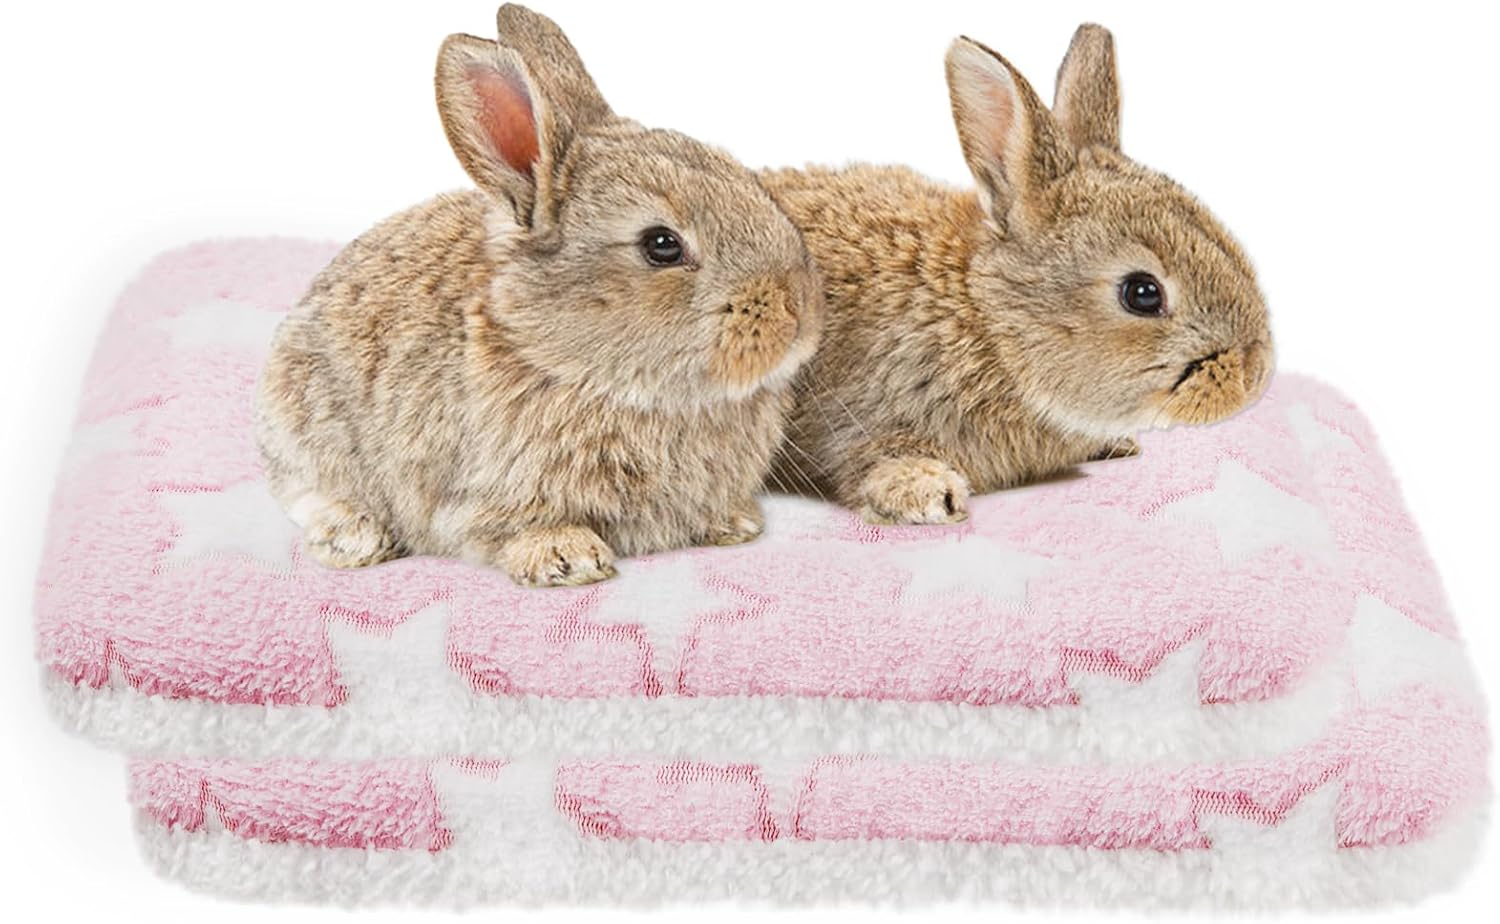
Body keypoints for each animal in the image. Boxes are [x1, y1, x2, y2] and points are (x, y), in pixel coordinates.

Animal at [760, 24, 1272, 525]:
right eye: (1142, 293)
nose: (1254, 375)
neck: (988, 323)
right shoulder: (865, 411)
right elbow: (873, 457)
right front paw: (926, 492)